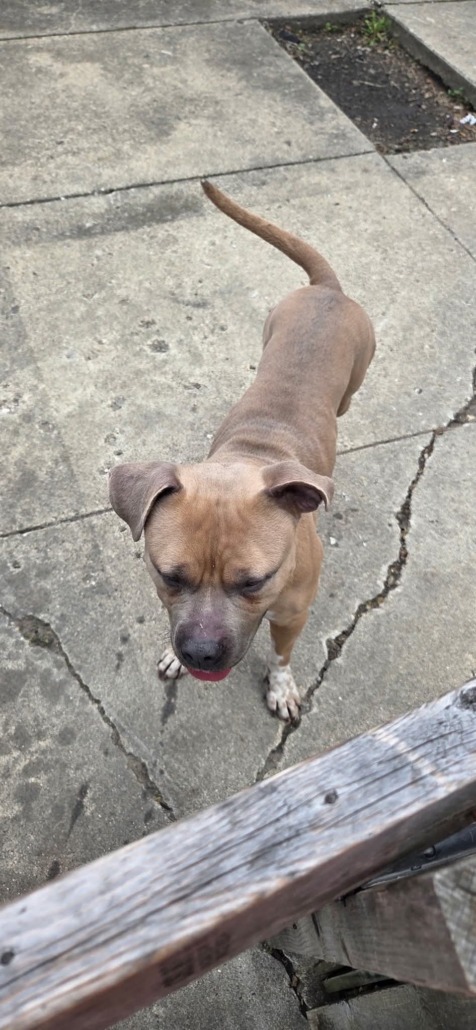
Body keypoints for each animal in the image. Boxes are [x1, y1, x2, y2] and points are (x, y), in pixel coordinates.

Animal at [109, 180, 375, 721]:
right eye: (169, 575)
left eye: (254, 582)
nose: (201, 654)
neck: (250, 457)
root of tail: (329, 289)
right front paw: (174, 654)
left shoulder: (293, 614)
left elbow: (280, 654)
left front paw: (280, 686)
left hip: (356, 377)